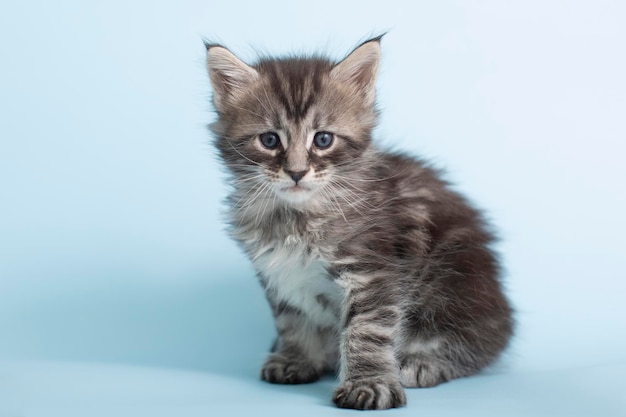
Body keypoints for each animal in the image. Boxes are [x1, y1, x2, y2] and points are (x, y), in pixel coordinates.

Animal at [205, 36, 512, 410]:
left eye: (323, 139)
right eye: (269, 140)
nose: (296, 172)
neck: (296, 217)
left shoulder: (372, 269)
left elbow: (365, 331)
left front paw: (369, 383)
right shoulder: (280, 274)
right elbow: (292, 320)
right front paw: (297, 358)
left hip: (453, 282)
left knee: (475, 344)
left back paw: (422, 363)